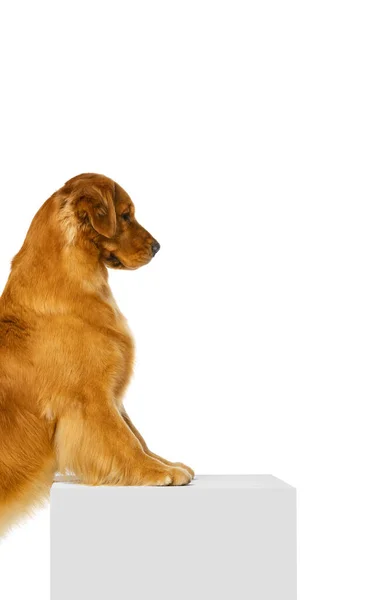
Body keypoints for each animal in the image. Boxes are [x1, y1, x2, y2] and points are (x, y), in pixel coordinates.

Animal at [0, 171, 194, 536]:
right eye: (126, 215)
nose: (157, 247)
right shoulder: (89, 399)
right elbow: (124, 439)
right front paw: (156, 472)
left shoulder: (111, 394)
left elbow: (138, 435)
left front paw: (168, 463)